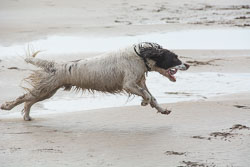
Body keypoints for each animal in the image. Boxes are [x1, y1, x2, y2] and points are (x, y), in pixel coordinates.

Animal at [0, 41, 189, 120]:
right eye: (175, 57)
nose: (187, 65)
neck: (140, 57)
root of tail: (55, 65)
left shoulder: (140, 82)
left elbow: (153, 97)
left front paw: (162, 110)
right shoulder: (129, 84)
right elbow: (147, 96)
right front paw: (144, 102)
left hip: (48, 91)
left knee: (28, 101)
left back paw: (27, 117)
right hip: (46, 89)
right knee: (23, 98)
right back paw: (7, 107)